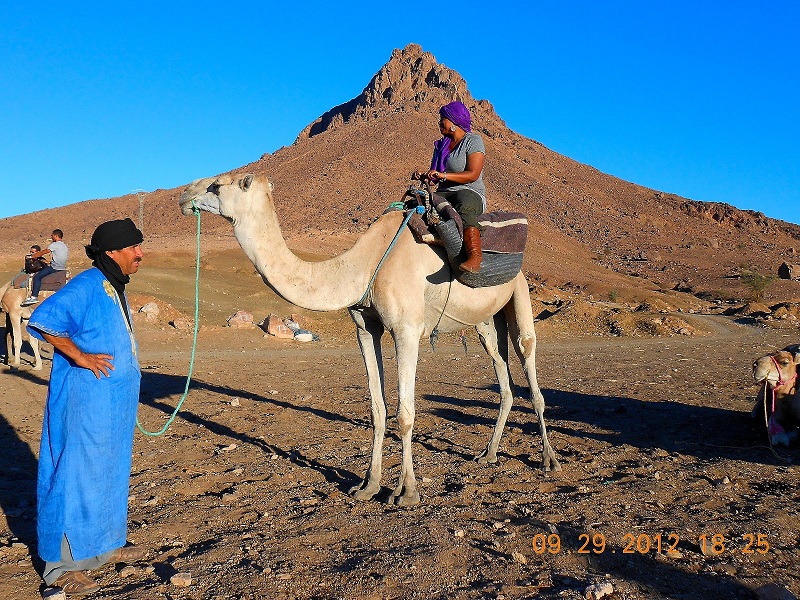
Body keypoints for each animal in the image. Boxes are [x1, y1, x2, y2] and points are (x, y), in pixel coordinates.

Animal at [180, 173, 564, 506]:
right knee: (502, 374)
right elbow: (378, 409)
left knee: (529, 362)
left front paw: (406, 492)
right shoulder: (366, 328)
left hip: (520, 292)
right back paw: (489, 454)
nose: (183, 196)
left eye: (217, 185)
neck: (364, 265)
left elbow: (405, 413)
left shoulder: (407, 330)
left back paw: (549, 459)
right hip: (486, 321)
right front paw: (368, 485)